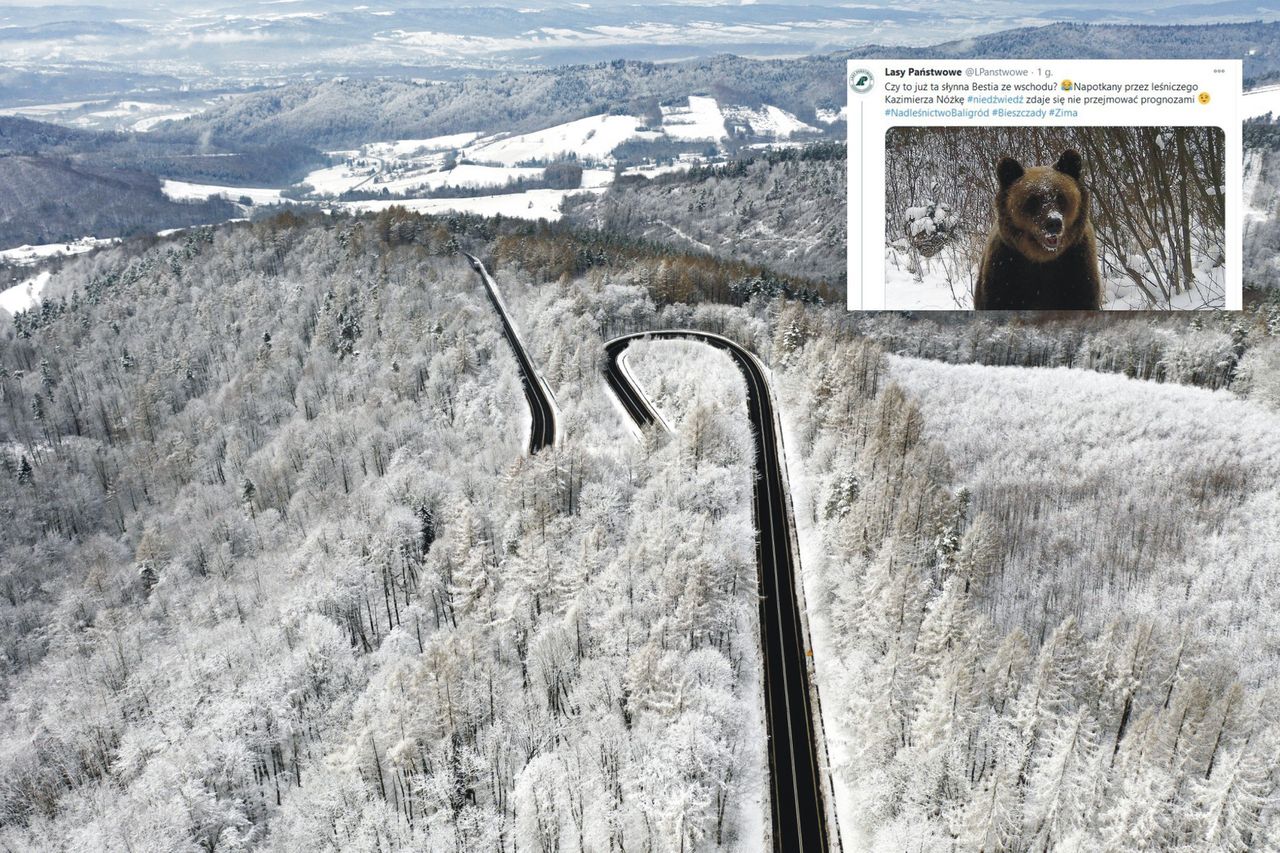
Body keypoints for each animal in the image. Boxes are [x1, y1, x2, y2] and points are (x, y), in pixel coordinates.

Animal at [977, 148, 1100, 308]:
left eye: (1061, 196)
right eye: (1032, 200)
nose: (1053, 223)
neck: (1042, 258)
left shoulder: (1077, 269)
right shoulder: (1004, 273)